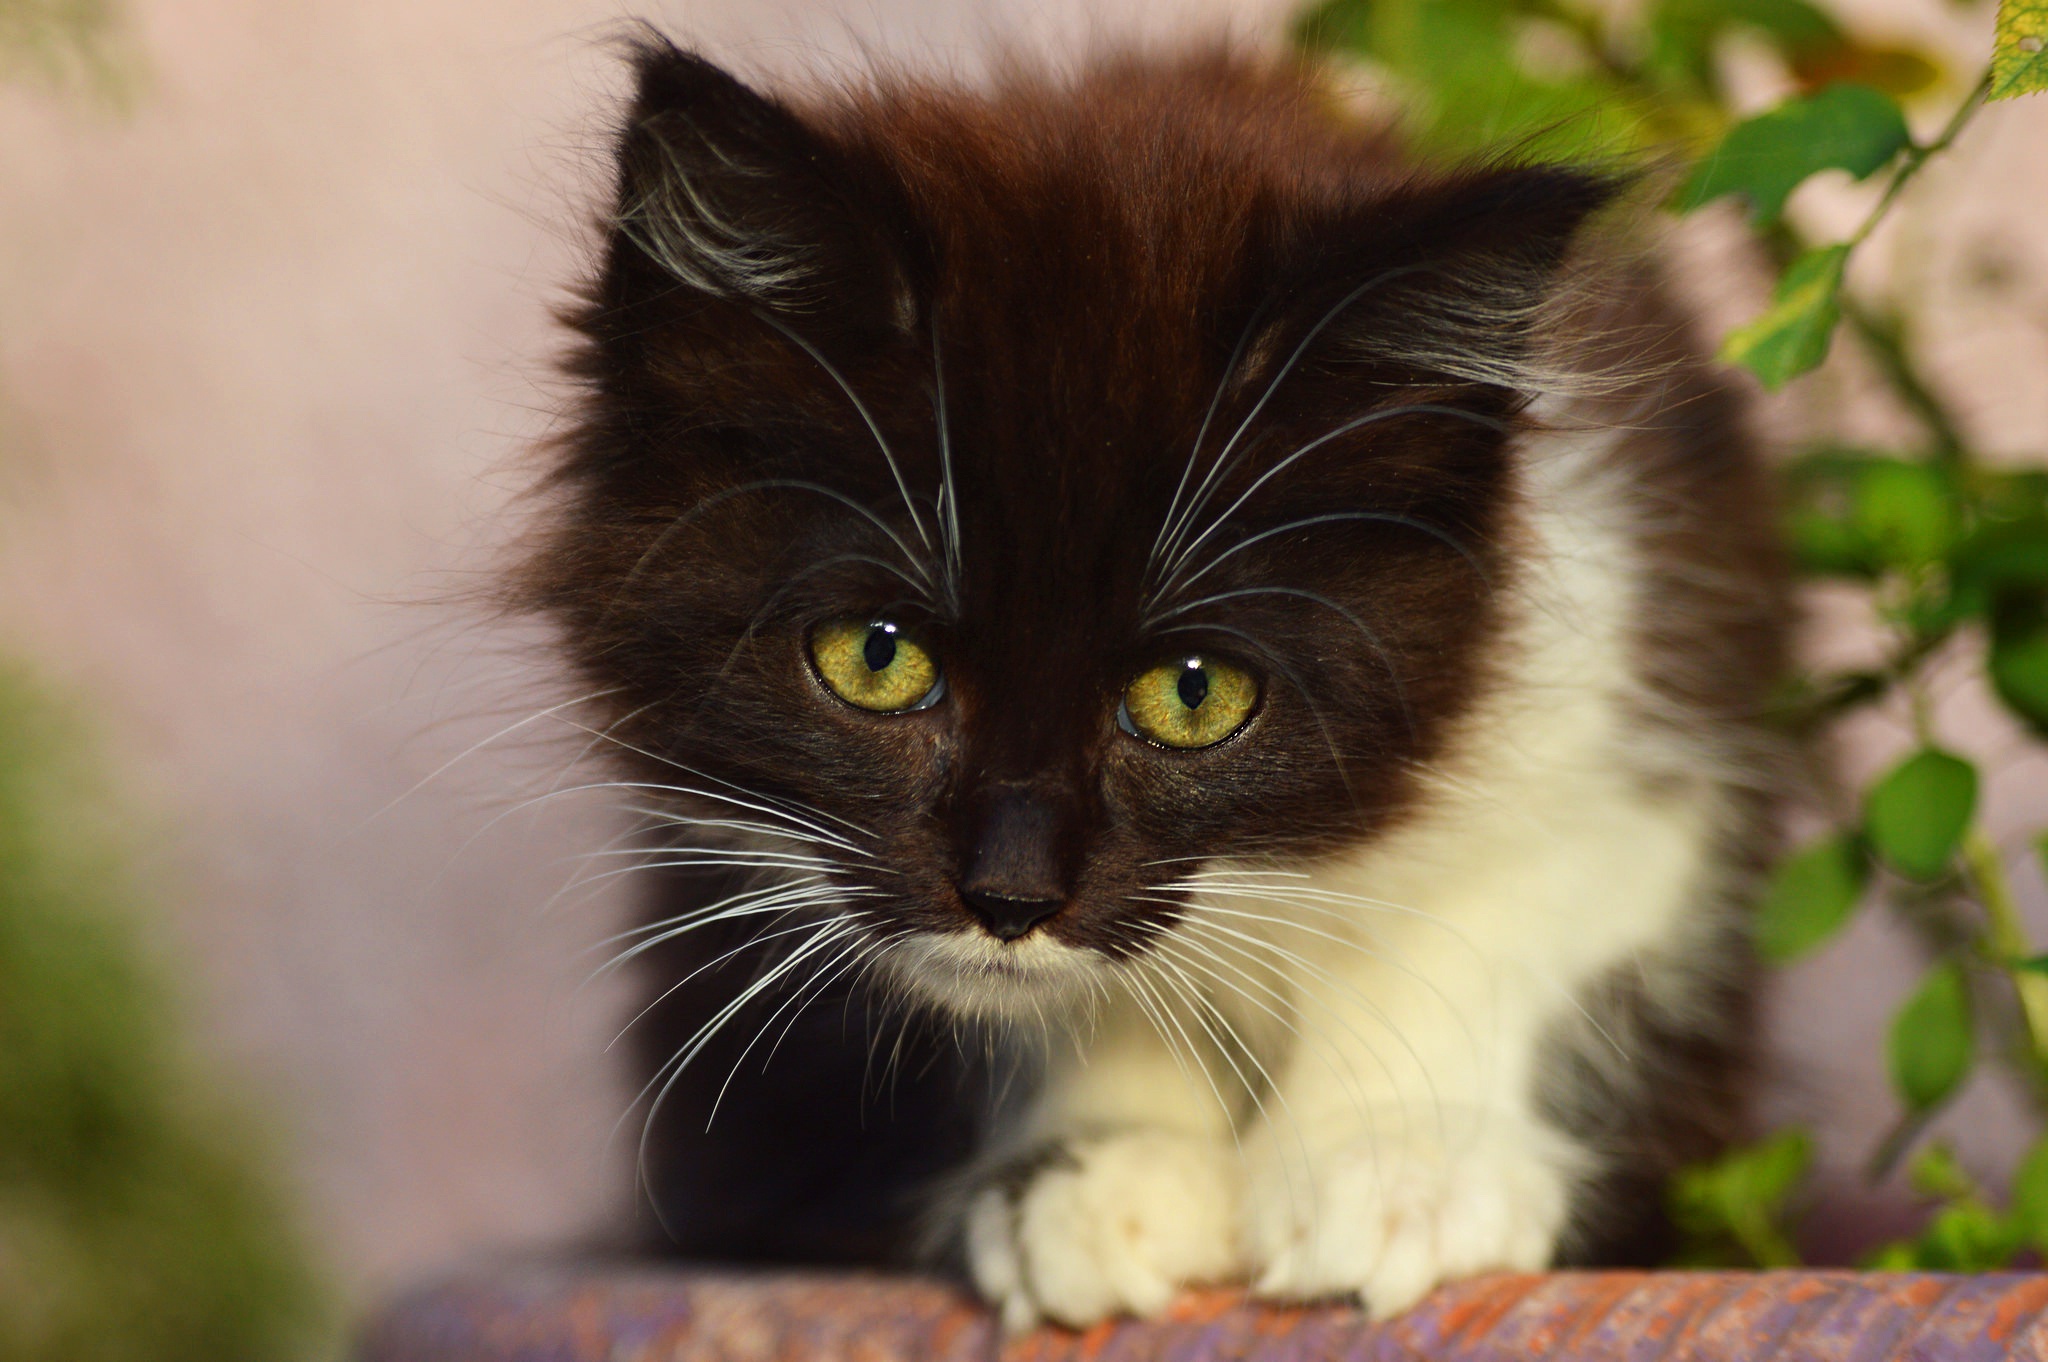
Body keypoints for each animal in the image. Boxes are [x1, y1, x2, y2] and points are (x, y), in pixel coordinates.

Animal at [516, 39, 1794, 1327]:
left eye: (1193, 693)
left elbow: (1525, 894)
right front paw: (1096, 1171)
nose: (1010, 897)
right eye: (876, 657)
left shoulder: (1637, 657)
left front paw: (1399, 1157)